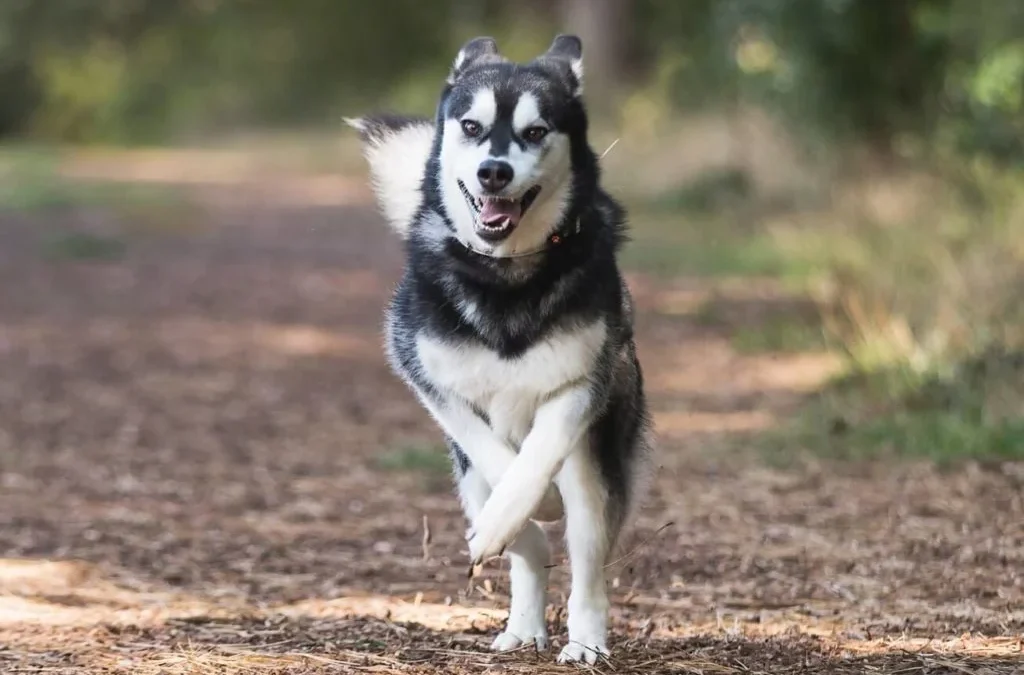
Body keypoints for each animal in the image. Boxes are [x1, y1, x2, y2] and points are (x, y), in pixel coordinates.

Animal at [344, 34, 647, 663]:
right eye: (471, 126)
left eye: (535, 131)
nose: (493, 172)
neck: (504, 275)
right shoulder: (429, 377)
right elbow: (492, 454)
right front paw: (510, 520)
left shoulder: (581, 384)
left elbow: (535, 458)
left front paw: (529, 503)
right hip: (466, 477)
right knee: (525, 544)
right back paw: (525, 622)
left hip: (597, 462)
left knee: (588, 557)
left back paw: (585, 640)